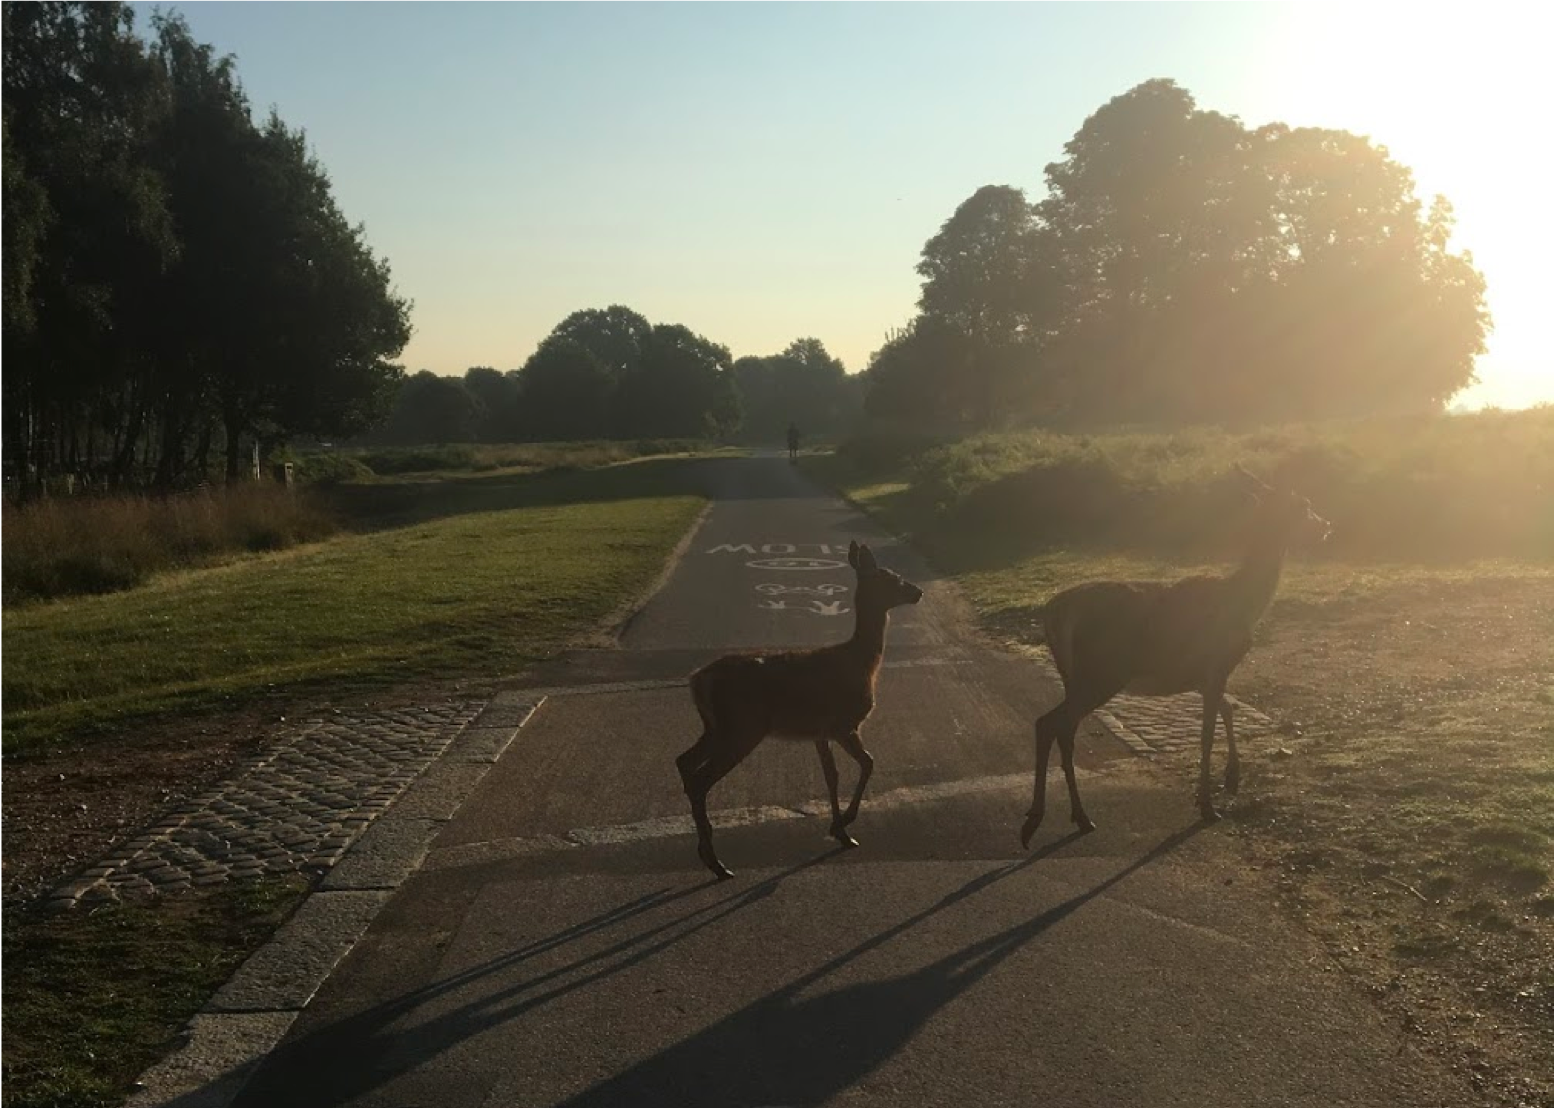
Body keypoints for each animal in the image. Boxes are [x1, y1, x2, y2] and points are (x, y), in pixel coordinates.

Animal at [677, 540, 919, 876]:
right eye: (892, 578)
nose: (918, 591)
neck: (861, 661)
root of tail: (698, 679)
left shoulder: (820, 732)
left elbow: (831, 775)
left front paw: (840, 831)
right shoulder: (844, 724)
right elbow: (868, 762)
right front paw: (846, 823)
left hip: (716, 727)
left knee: (684, 762)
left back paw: (706, 851)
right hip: (742, 728)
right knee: (700, 779)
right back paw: (716, 863)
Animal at [1019, 469, 1336, 845]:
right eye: (1302, 504)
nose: (1325, 525)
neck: (1245, 603)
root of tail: (1052, 615)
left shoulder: (1199, 674)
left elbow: (1228, 711)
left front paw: (1231, 779)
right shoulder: (1215, 665)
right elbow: (1207, 734)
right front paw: (1208, 805)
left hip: (1075, 677)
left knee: (1058, 728)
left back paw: (1073, 817)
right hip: (1100, 672)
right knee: (1053, 724)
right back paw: (1046, 820)